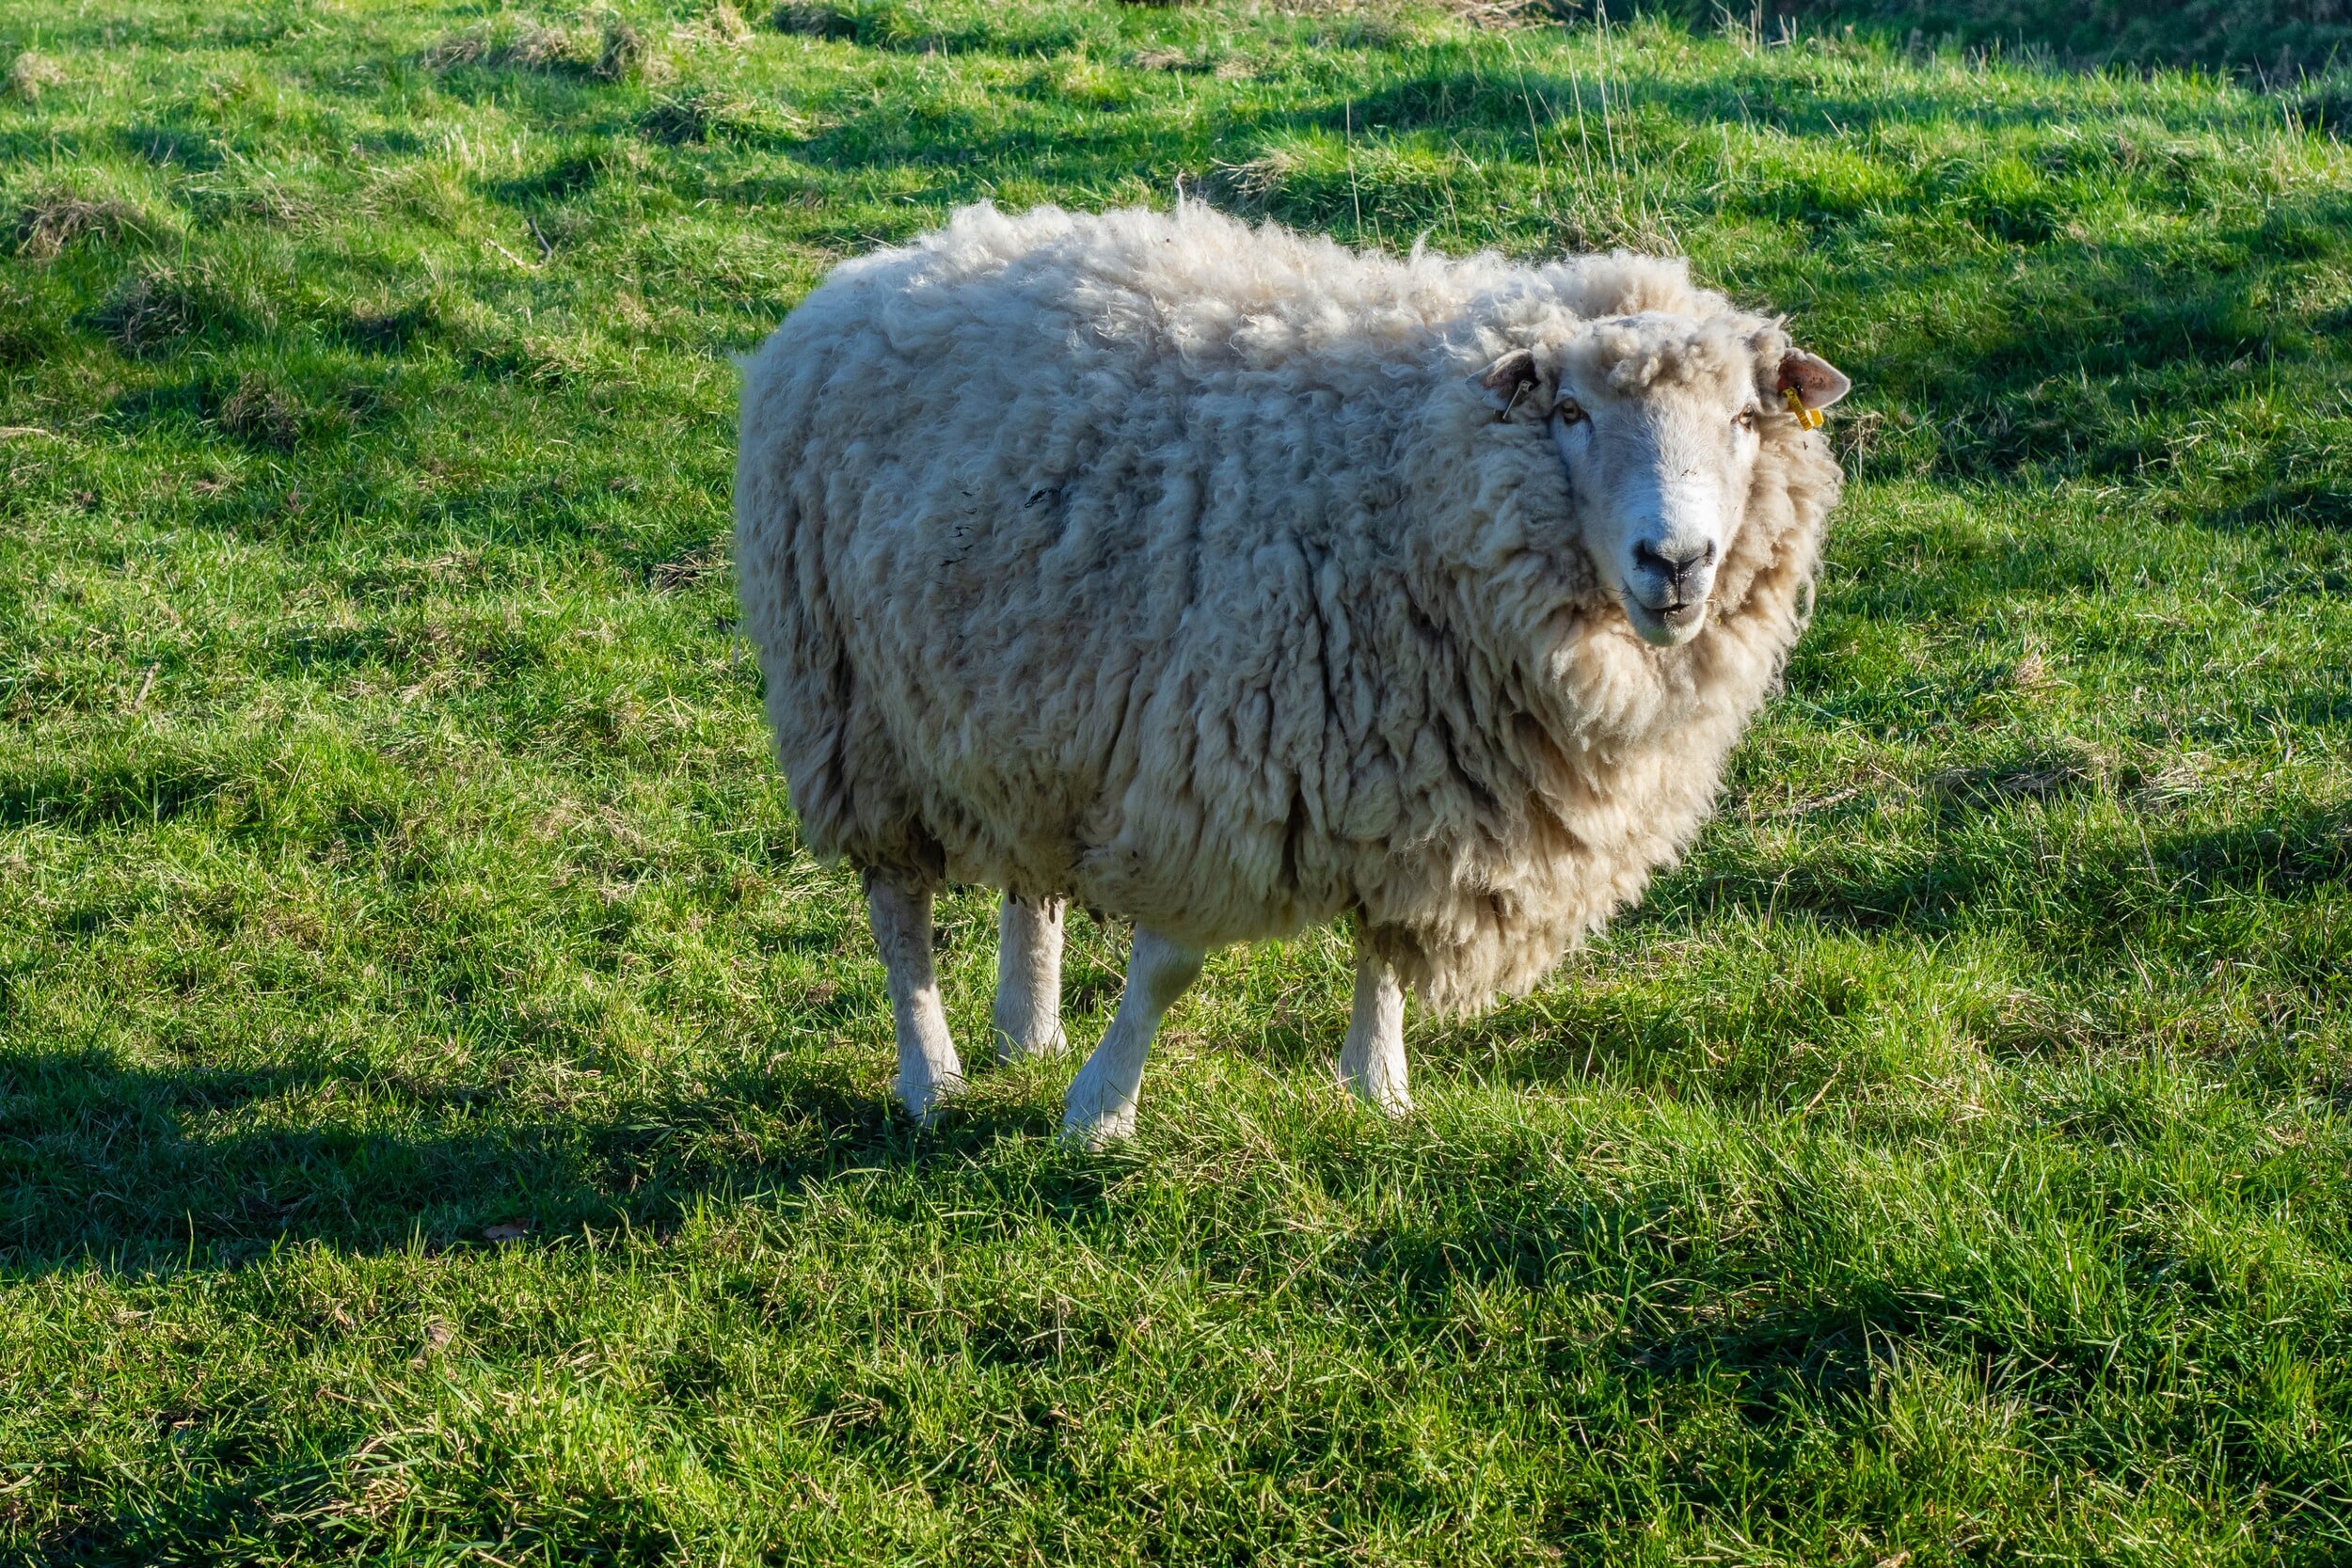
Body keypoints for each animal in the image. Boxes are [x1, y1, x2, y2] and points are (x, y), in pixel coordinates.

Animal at [724, 201, 1844, 1147]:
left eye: (1745, 420)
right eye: (1568, 412)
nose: (1676, 561)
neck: (1412, 472)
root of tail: (890, 262)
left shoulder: (1424, 783)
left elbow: (1385, 947)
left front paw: (1379, 1087)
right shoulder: (1211, 764)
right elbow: (1169, 965)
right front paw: (1099, 1114)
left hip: (1029, 692)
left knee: (1029, 874)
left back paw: (1026, 1028)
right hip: (854, 714)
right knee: (898, 911)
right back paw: (933, 1076)